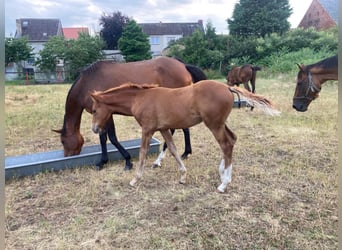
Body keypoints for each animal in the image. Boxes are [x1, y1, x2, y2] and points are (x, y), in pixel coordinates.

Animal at [52, 56, 206, 171]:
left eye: (63, 141)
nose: (68, 156)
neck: (86, 84)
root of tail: (182, 65)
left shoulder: (106, 114)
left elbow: (110, 138)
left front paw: (124, 161)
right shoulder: (104, 116)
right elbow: (105, 138)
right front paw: (106, 161)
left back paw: (161, 160)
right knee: (183, 128)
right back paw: (185, 153)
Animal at [91, 80, 280, 193]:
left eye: (93, 110)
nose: (94, 129)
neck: (140, 98)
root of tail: (226, 86)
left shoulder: (147, 129)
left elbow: (143, 151)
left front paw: (135, 179)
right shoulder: (163, 129)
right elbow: (173, 149)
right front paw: (182, 176)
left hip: (213, 124)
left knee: (226, 144)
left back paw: (223, 183)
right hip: (219, 123)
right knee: (232, 139)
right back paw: (223, 173)